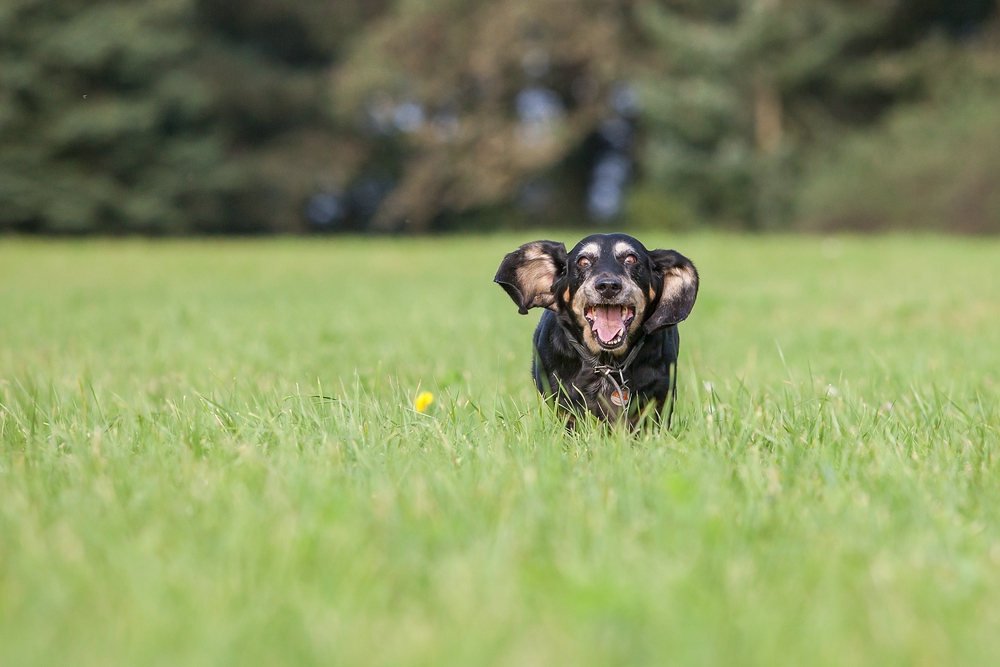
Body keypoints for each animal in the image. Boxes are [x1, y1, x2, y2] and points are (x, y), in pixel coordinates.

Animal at [496, 232, 700, 426]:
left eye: (631, 259)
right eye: (583, 261)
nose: (608, 286)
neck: (607, 363)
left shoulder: (657, 402)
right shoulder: (565, 409)